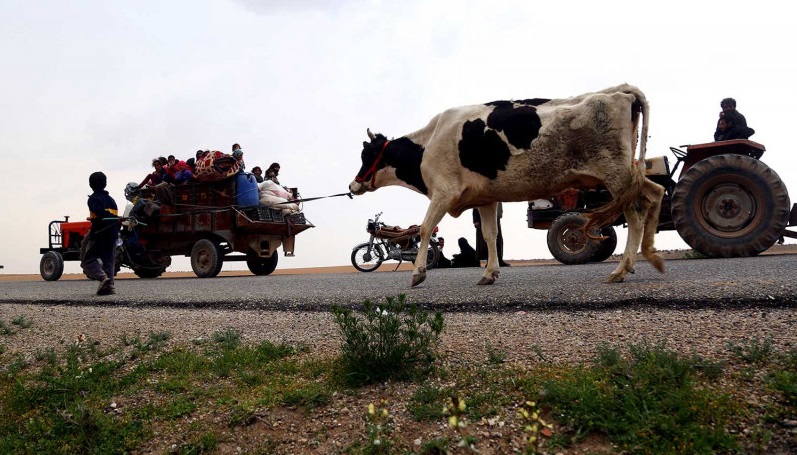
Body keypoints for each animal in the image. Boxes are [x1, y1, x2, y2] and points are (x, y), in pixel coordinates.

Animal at [348, 83, 664, 286]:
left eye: (366, 154)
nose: (352, 186)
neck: (429, 143)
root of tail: (620, 90)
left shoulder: (443, 193)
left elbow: (425, 229)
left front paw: (417, 273)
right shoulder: (485, 199)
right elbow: (490, 236)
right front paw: (489, 274)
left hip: (615, 172)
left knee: (636, 211)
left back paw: (622, 269)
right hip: (626, 173)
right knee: (656, 192)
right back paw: (649, 255)